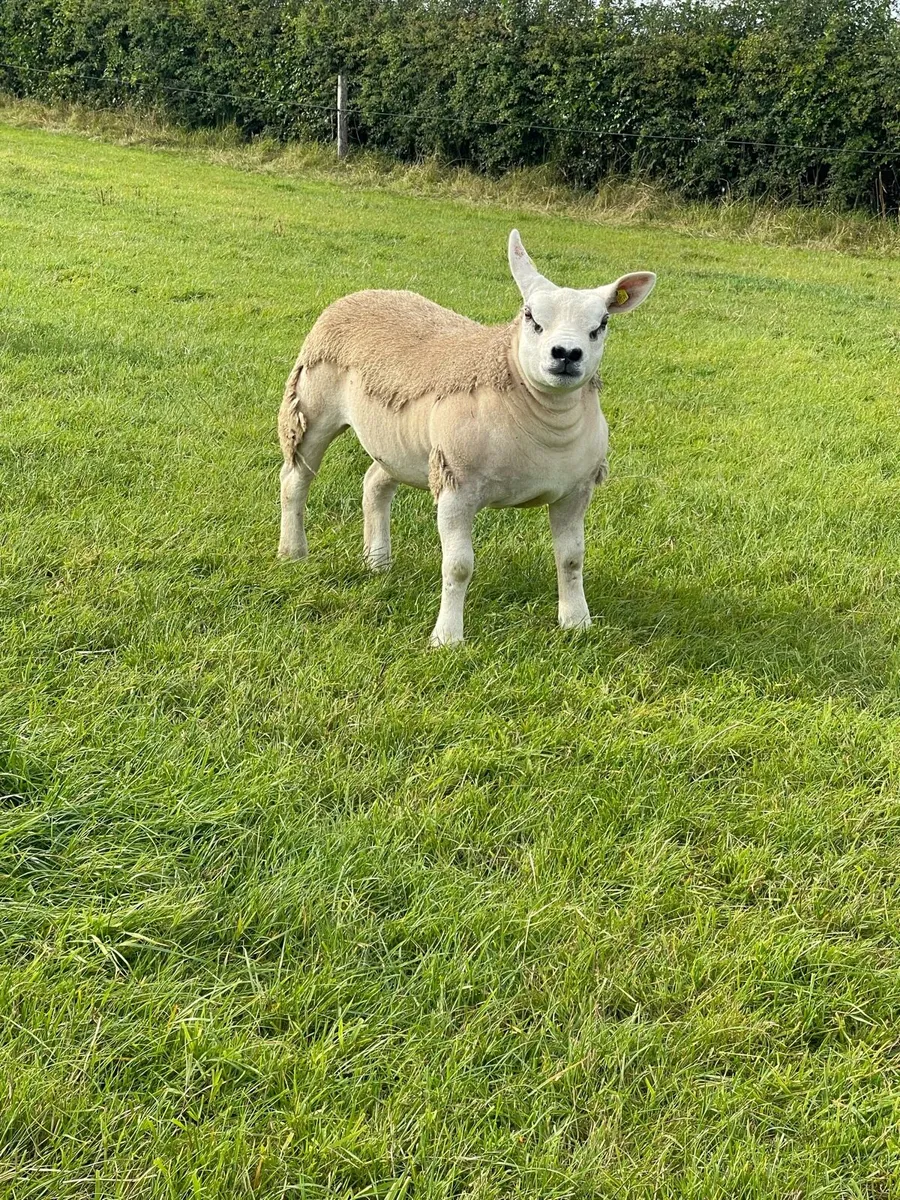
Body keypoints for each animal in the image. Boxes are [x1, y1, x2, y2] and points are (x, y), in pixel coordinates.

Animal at [278, 230, 656, 645]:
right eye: (530, 317)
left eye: (601, 323)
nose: (567, 354)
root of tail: (367, 292)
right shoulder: (456, 487)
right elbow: (458, 566)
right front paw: (447, 639)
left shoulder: (575, 490)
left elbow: (571, 558)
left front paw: (576, 622)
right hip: (311, 407)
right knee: (295, 480)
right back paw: (293, 551)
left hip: (400, 445)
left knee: (375, 483)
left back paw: (377, 560)